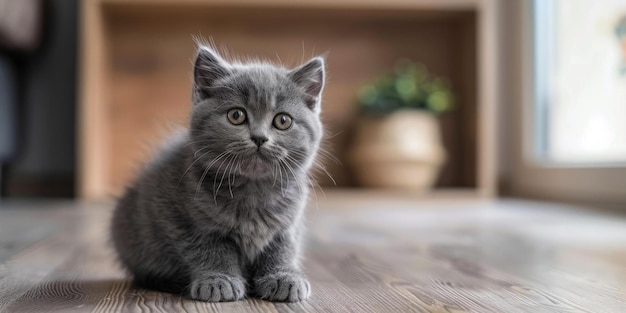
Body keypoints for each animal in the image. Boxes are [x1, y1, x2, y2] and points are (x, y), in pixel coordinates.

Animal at [111, 43, 324, 300]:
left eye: (283, 120)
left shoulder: (288, 224)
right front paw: (218, 281)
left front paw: (283, 277)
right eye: (236, 115)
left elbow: (282, 248)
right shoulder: (184, 221)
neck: (252, 191)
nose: (259, 138)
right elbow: (209, 249)